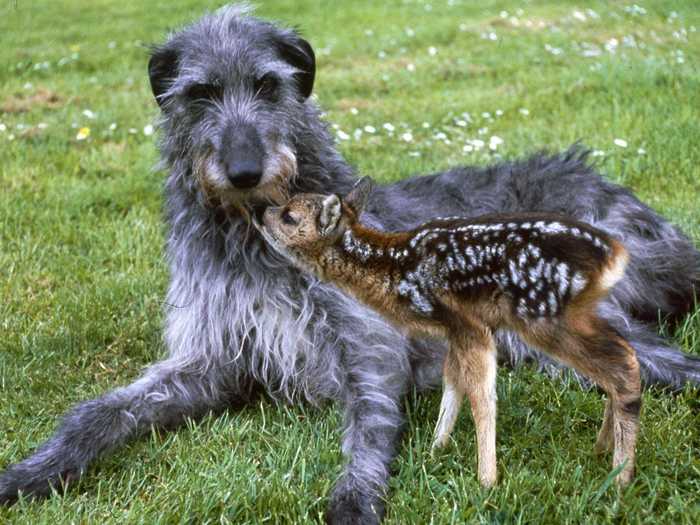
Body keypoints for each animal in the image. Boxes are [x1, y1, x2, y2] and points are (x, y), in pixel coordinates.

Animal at [4, 3, 700, 520]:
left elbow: (368, 421)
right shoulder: (211, 358)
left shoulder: (369, 345)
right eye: (200, 94)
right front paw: (35, 470)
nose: (244, 172)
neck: (259, 237)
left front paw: (355, 498)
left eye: (267, 85)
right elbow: (98, 413)